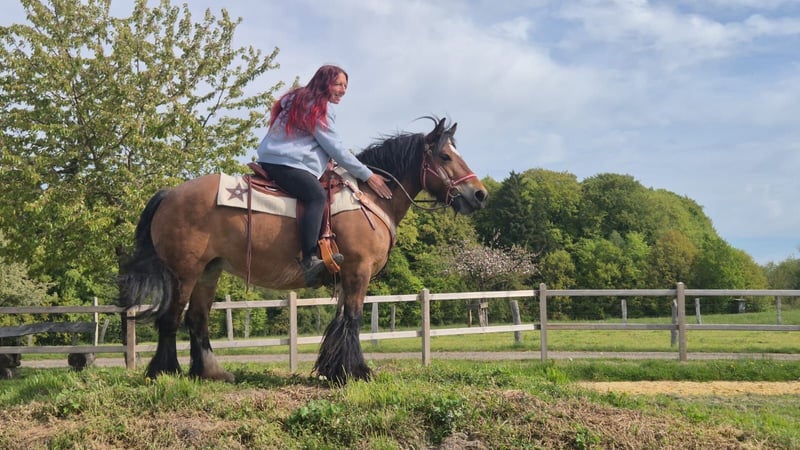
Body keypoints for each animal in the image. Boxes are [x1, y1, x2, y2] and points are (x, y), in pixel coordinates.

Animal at [119, 117, 488, 383]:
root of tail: (169, 194)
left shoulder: (347, 274)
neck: (368, 197)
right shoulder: (359, 269)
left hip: (209, 272)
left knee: (197, 319)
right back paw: (164, 372)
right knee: (171, 319)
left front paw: (334, 369)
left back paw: (210, 372)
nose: (480, 194)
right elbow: (353, 318)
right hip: (184, 272)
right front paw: (356, 372)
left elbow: (341, 320)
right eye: (445, 156)